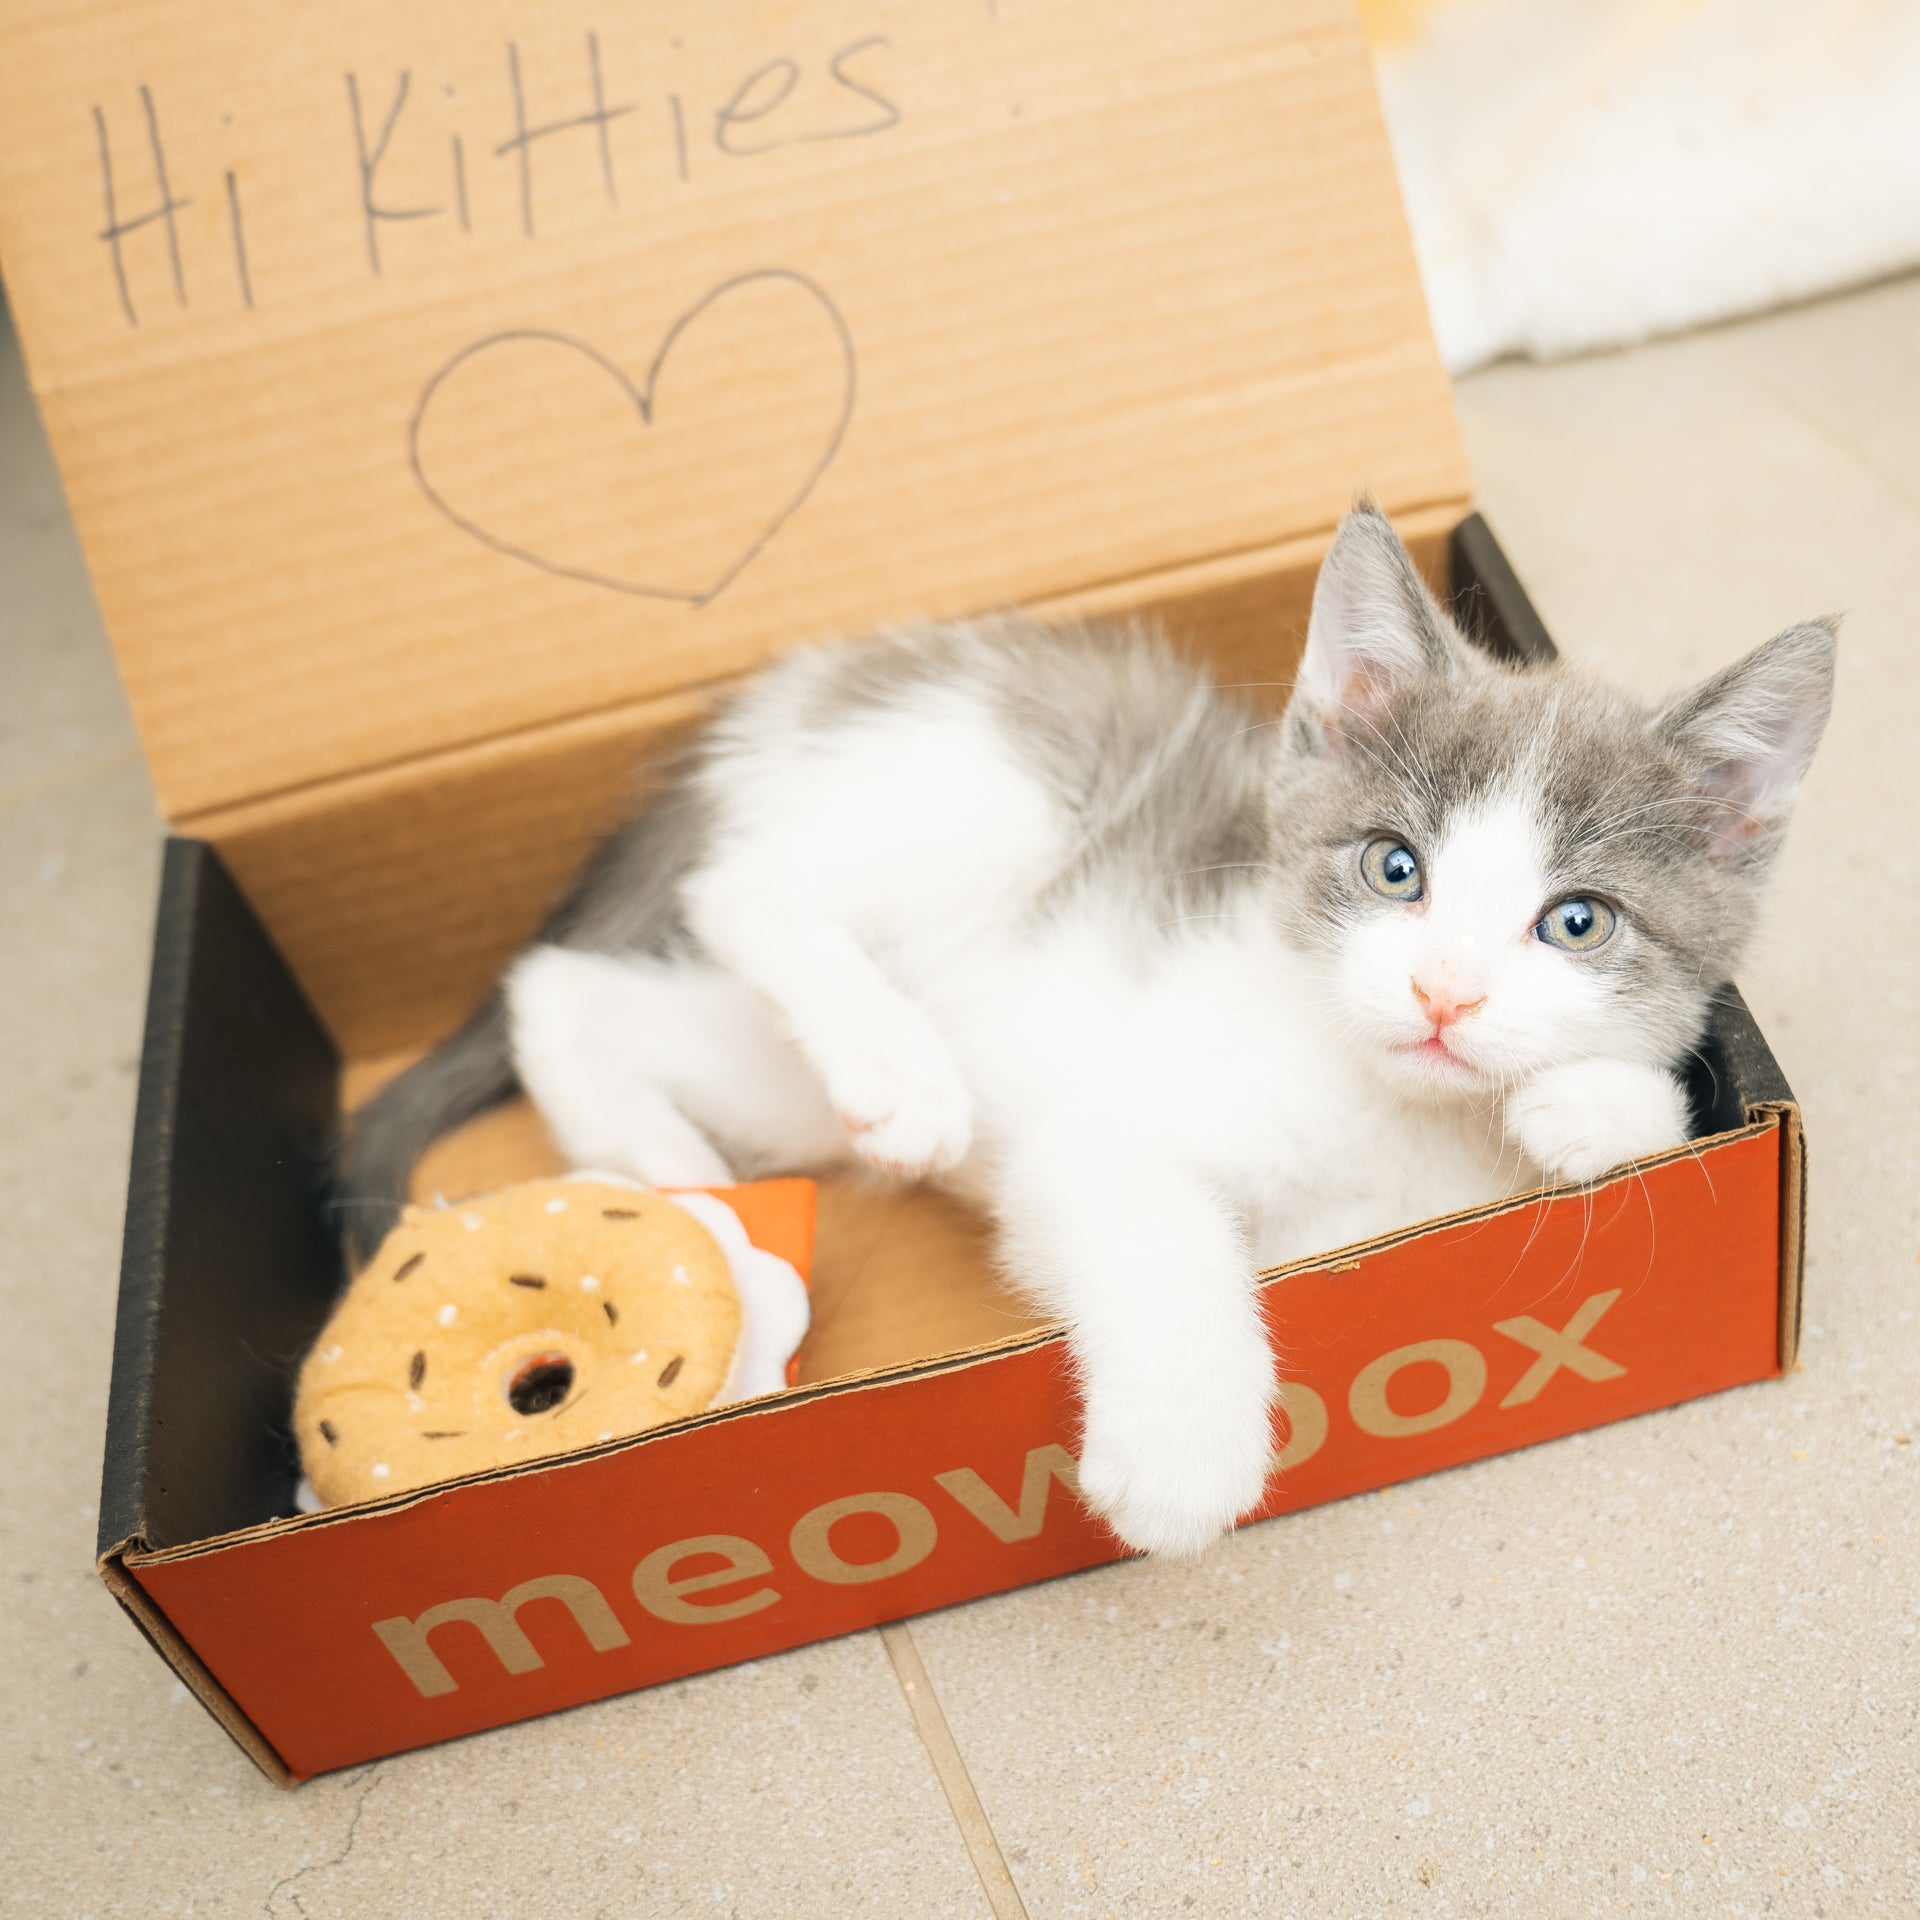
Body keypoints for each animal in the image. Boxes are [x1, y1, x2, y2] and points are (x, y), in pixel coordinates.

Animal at [341, 506, 1827, 1559]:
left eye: (1576, 923)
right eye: (1394, 868)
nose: (1444, 997)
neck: (1382, 1109)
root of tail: (800, 685)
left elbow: (1645, 1102)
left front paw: (1586, 1107)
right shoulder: (1102, 1134)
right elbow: (1157, 1227)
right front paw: (1183, 1449)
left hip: (783, 1076)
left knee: (570, 990)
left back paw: (666, 1167)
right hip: (999, 783)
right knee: (742, 888)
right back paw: (894, 1071)